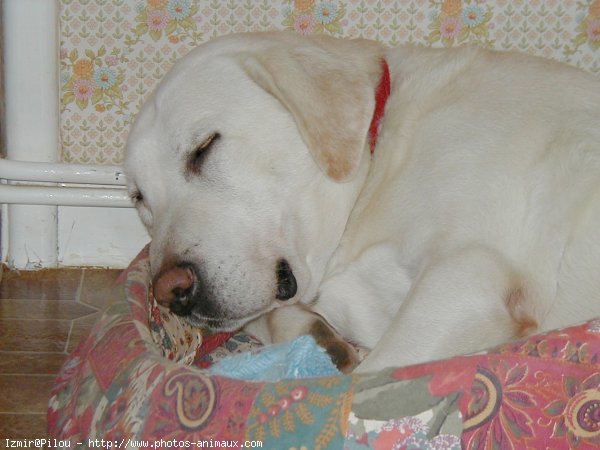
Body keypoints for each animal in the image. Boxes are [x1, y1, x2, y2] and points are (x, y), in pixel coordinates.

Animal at [125, 31, 600, 372]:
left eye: (203, 147)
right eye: (140, 199)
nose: (170, 292)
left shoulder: (472, 276)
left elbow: (367, 378)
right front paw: (316, 337)